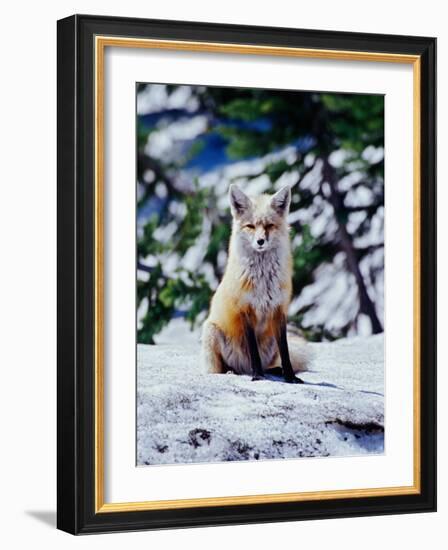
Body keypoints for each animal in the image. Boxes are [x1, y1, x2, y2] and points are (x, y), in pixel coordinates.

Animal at [200, 185, 308, 384]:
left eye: (269, 226)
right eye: (250, 226)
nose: (260, 241)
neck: (263, 280)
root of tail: (243, 368)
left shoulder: (279, 310)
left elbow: (286, 352)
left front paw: (290, 377)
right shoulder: (245, 309)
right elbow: (253, 350)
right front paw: (257, 376)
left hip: (271, 341)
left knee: (271, 363)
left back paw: (274, 370)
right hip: (211, 331)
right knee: (222, 369)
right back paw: (233, 371)